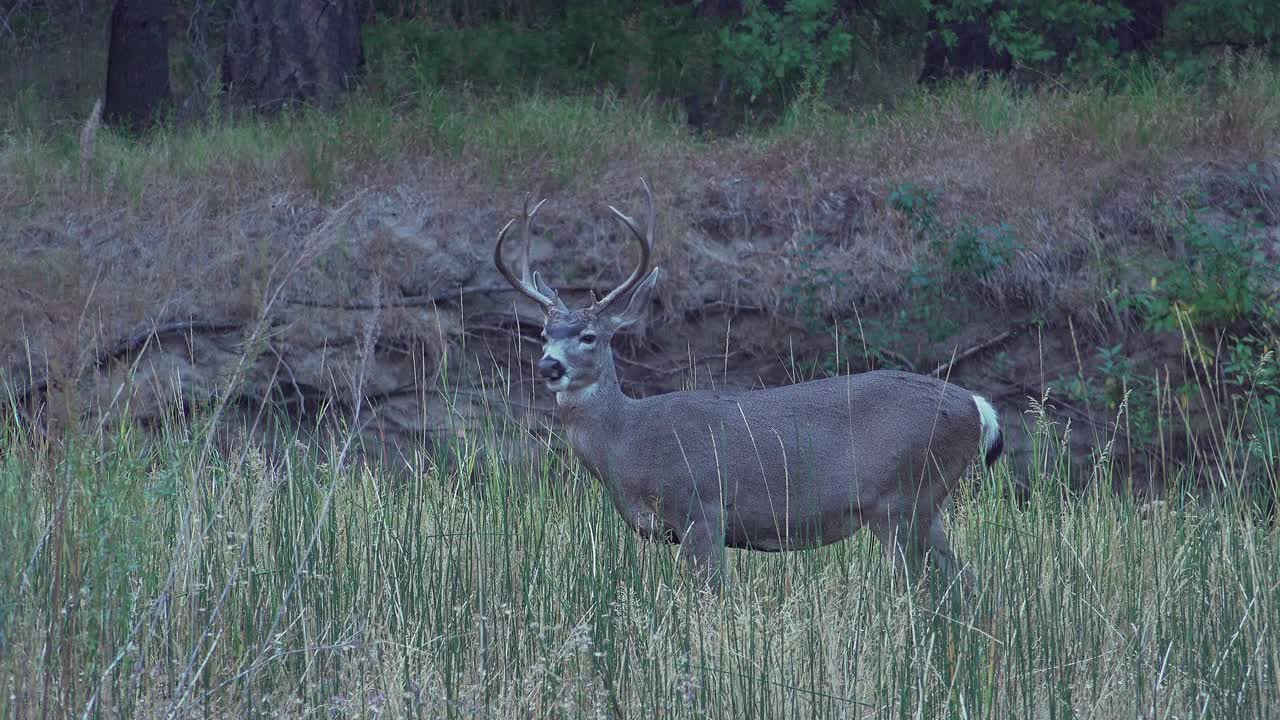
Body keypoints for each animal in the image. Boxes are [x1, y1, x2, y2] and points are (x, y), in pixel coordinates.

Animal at [494, 179, 1004, 592]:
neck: (629, 441)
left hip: (905, 496)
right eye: (543, 333)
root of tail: (978, 406)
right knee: (965, 579)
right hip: (923, 502)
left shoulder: (702, 507)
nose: (549, 366)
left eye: (589, 336)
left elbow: (710, 596)